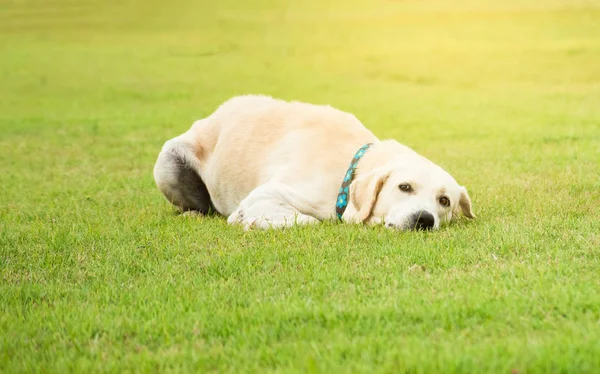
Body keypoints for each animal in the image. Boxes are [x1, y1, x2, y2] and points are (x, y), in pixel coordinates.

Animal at [154, 95, 474, 229]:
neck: (350, 167)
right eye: (404, 187)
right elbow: (308, 220)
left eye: (444, 201)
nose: (425, 219)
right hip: (166, 165)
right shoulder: (269, 193)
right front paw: (247, 220)